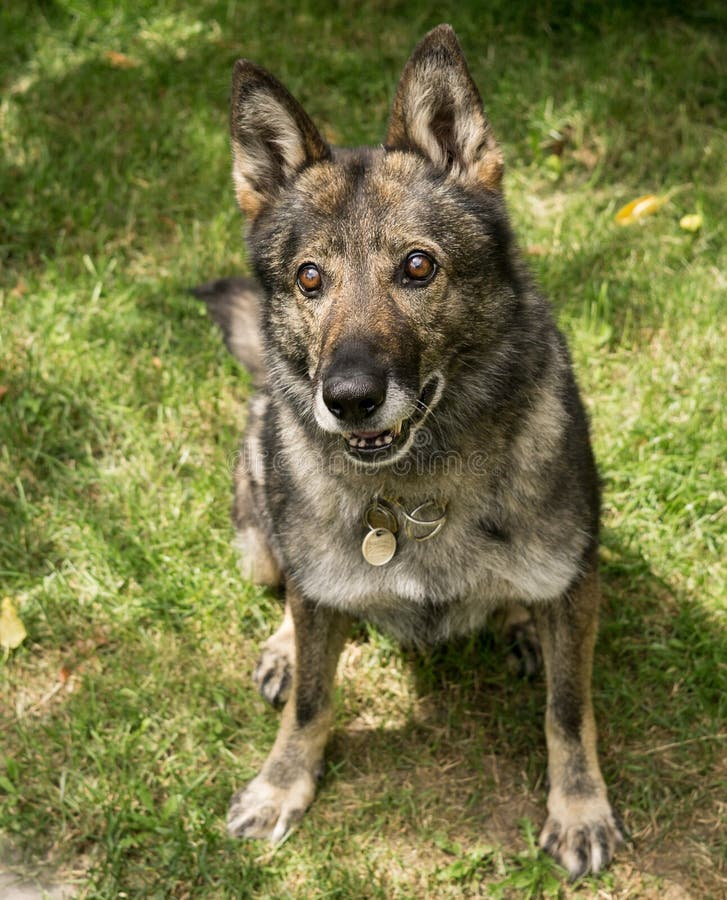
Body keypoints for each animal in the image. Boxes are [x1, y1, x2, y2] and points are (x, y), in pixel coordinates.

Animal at [195, 22, 624, 880]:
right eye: (310, 278)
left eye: (417, 266)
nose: (348, 398)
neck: (416, 489)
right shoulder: (314, 596)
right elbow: (312, 702)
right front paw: (281, 785)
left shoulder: (573, 583)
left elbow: (568, 712)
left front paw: (578, 808)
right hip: (258, 533)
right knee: (290, 589)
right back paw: (285, 645)